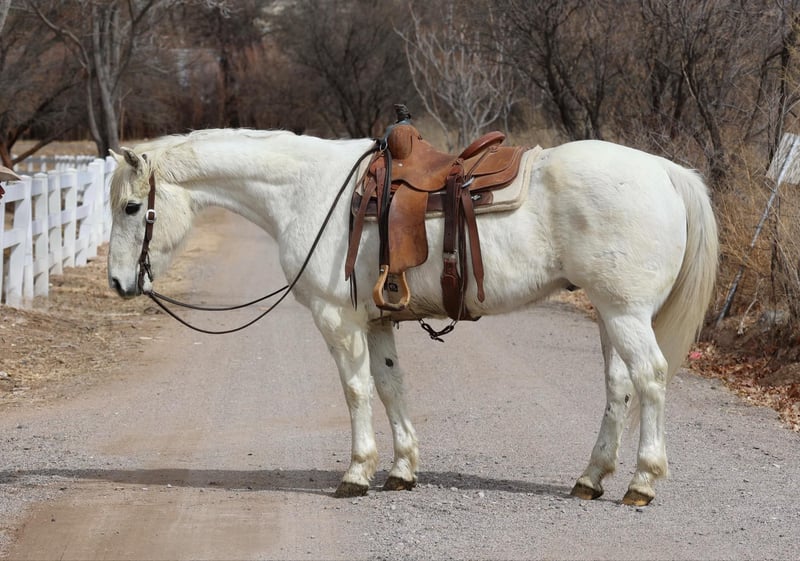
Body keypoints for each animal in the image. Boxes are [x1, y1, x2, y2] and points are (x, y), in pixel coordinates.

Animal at [106, 128, 718, 506]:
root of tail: (666, 172)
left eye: (132, 207)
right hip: (611, 315)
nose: (117, 283)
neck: (311, 192)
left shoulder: (338, 321)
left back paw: (642, 482)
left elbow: (356, 391)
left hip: (626, 314)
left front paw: (357, 472)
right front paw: (401, 470)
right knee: (620, 387)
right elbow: (390, 386)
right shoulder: (377, 322)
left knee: (651, 379)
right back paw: (590, 479)